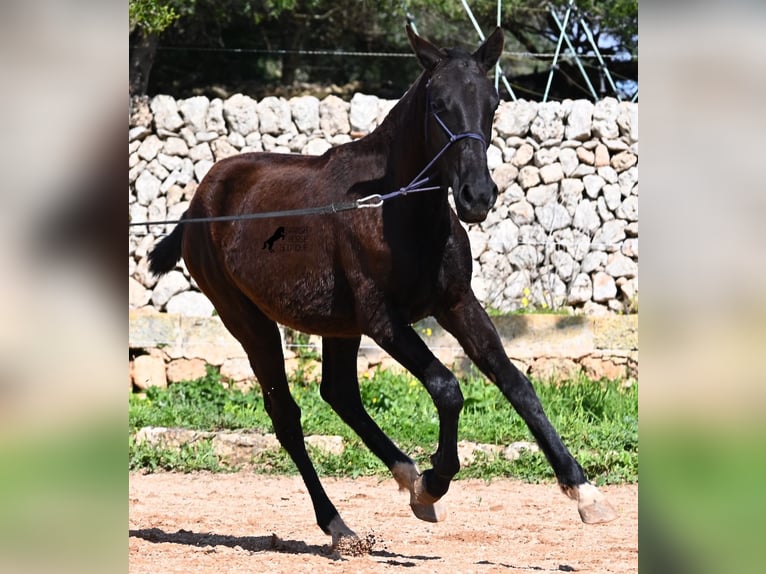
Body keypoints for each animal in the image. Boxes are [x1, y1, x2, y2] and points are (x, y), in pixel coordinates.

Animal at [148, 25, 616, 548]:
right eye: (438, 104)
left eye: (493, 103)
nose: (477, 196)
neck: (396, 208)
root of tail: (197, 205)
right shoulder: (382, 320)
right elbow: (447, 387)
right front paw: (435, 480)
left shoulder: (456, 303)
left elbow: (517, 384)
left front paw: (585, 492)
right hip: (249, 321)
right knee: (287, 416)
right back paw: (341, 524)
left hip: (337, 326)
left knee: (340, 394)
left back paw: (404, 478)